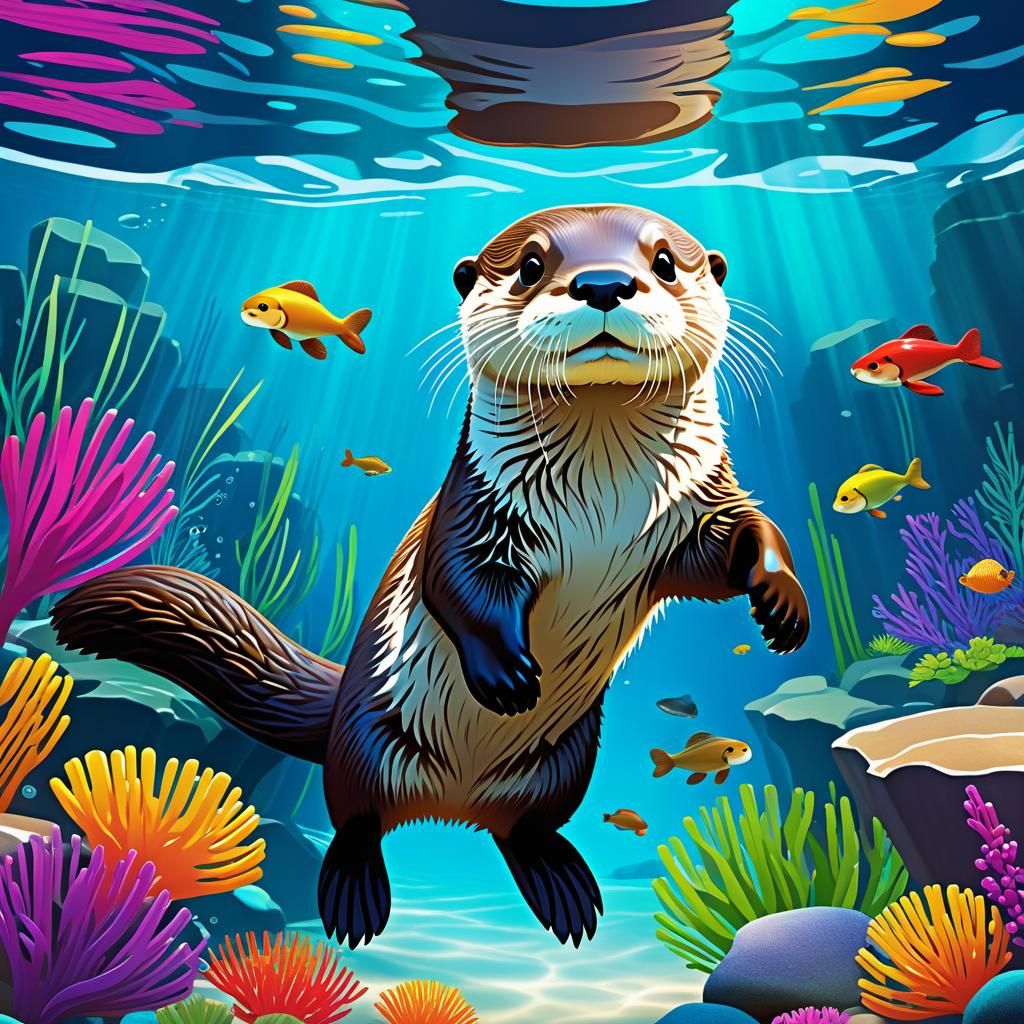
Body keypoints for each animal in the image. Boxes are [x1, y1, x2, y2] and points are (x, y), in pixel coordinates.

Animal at [51, 204, 809, 950]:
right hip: (367, 741)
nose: (603, 283)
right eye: (531, 264)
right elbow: (460, 585)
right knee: (353, 817)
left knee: (525, 828)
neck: (604, 496)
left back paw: (561, 885)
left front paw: (783, 602)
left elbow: (737, 543)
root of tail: (452, 802)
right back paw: (354, 896)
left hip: (566, 763)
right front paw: (507, 678)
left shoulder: (696, 507)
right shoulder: (477, 512)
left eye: (664, 261)